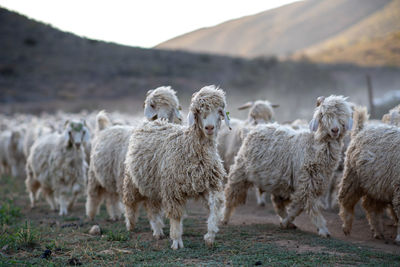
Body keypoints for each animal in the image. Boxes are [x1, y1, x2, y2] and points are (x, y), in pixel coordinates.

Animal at [86, 86, 184, 222]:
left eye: (172, 107)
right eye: (152, 105)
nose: (163, 119)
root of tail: (104, 129)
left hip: (111, 177)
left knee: (111, 197)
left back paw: (115, 215)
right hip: (94, 175)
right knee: (93, 195)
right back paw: (91, 214)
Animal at [122, 86, 230, 251]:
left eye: (219, 111)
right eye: (198, 111)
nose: (209, 127)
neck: (189, 146)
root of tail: (157, 121)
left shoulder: (210, 184)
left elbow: (215, 207)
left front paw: (210, 236)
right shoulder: (172, 189)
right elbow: (175, 216)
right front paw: (176, 241)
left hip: (153, 182)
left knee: (152, 206)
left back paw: (157, 230)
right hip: (132, 178)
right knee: (130, 201)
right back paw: (130, 224)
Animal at [223, 95, 352, 238]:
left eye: (343, 115)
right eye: (323, 115)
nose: (335, 130)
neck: (313, 145)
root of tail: (251, 130)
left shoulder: (312, 183)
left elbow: (298, 207)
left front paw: (286, 222)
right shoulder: (306, 182)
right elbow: (304, 206)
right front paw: (323, 229)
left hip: (278, 180)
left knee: (277, 201)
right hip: (241, 170)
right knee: (231, 193)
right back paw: (224, 218)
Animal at [338, 107, 400, 243]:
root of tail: (362, 130)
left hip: (377, 185)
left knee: (370, 206)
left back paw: (378, 232)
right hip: (353, 176)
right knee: (346, 201)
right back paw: (346, 227)